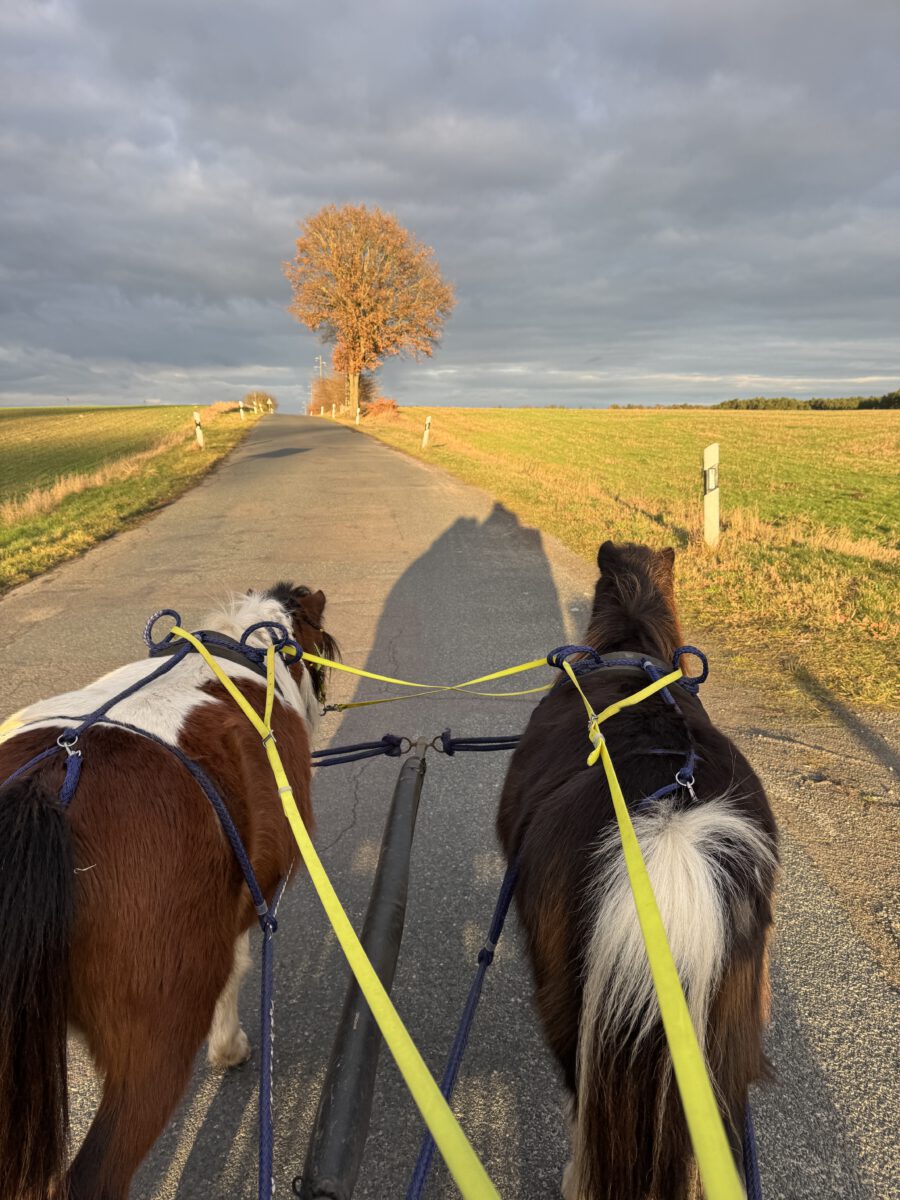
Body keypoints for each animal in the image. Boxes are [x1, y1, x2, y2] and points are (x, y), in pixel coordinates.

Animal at [0, 582, 338, 1200]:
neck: (241, 653)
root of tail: (41, 796)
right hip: (157, 1039)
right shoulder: (243, 901)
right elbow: (236, 967)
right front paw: (228, 1047)